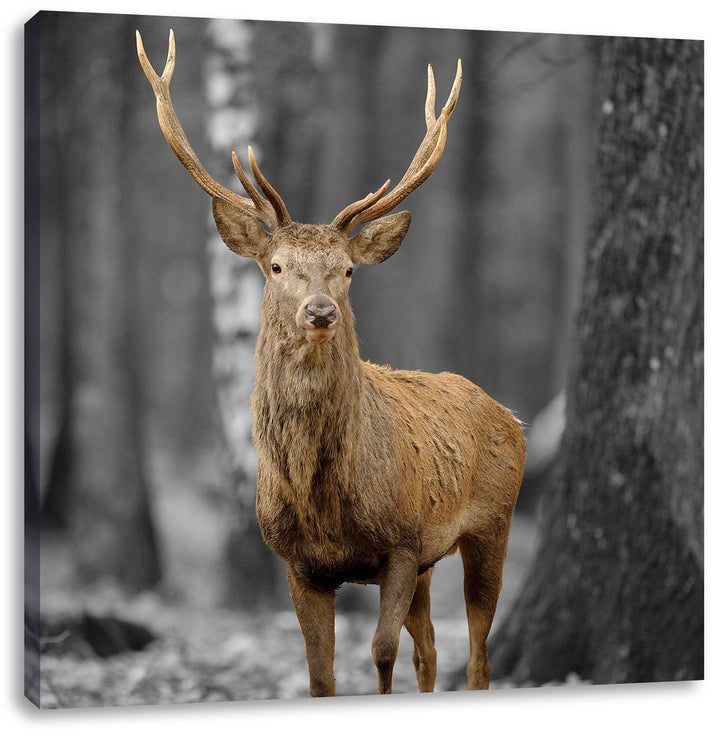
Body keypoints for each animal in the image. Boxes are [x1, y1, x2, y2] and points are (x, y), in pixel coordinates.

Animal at [137, 30, 525, 697]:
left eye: (346, 271)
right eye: (276, 266)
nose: (319, 311)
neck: (324, 501)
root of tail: (512, 417)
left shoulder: (401, 543)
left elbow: (381, 653)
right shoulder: (299, 562)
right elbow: (320, 673)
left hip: (492, 524)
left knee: (477, 655)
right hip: (433, 560)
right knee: (432, 652)